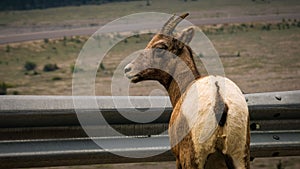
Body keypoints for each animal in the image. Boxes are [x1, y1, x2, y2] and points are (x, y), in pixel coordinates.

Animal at [123, 13, 250, 169]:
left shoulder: (179, 159)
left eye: (160, 46)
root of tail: (219, 100)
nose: (128, 69)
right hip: (239, 159)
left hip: (192, 160)